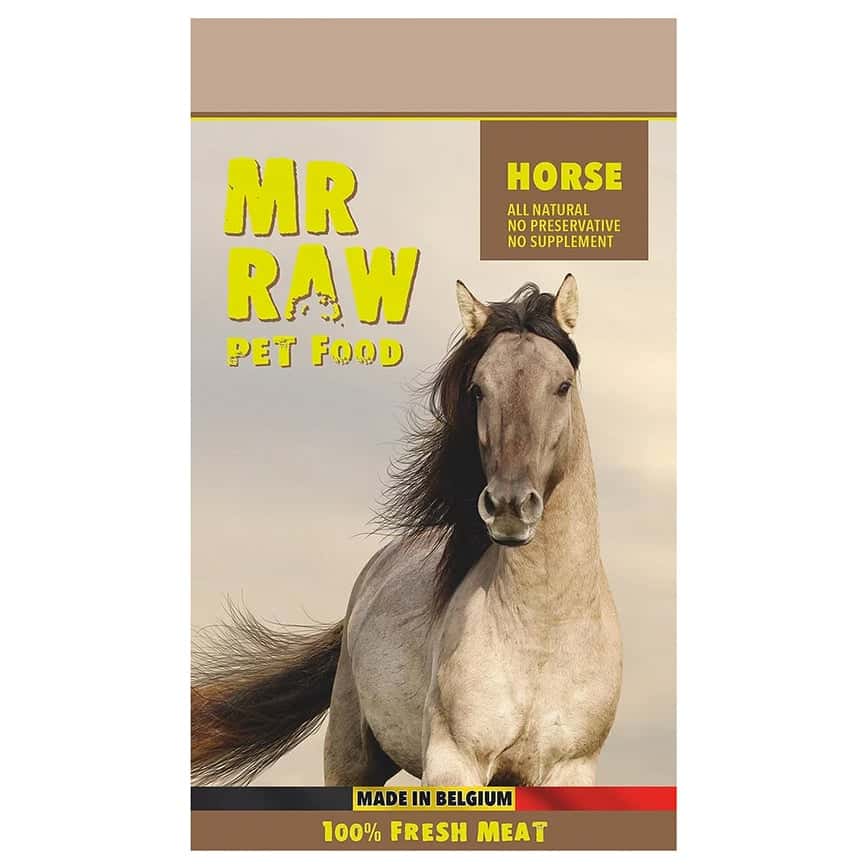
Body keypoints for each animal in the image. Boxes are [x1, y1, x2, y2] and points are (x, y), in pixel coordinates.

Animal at [191, 275, 622, 787]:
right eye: (478, 389)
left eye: (562, 385)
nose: (509, 507)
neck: (542, 630)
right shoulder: (455, 763)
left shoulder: (569, 770)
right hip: (351, 759)